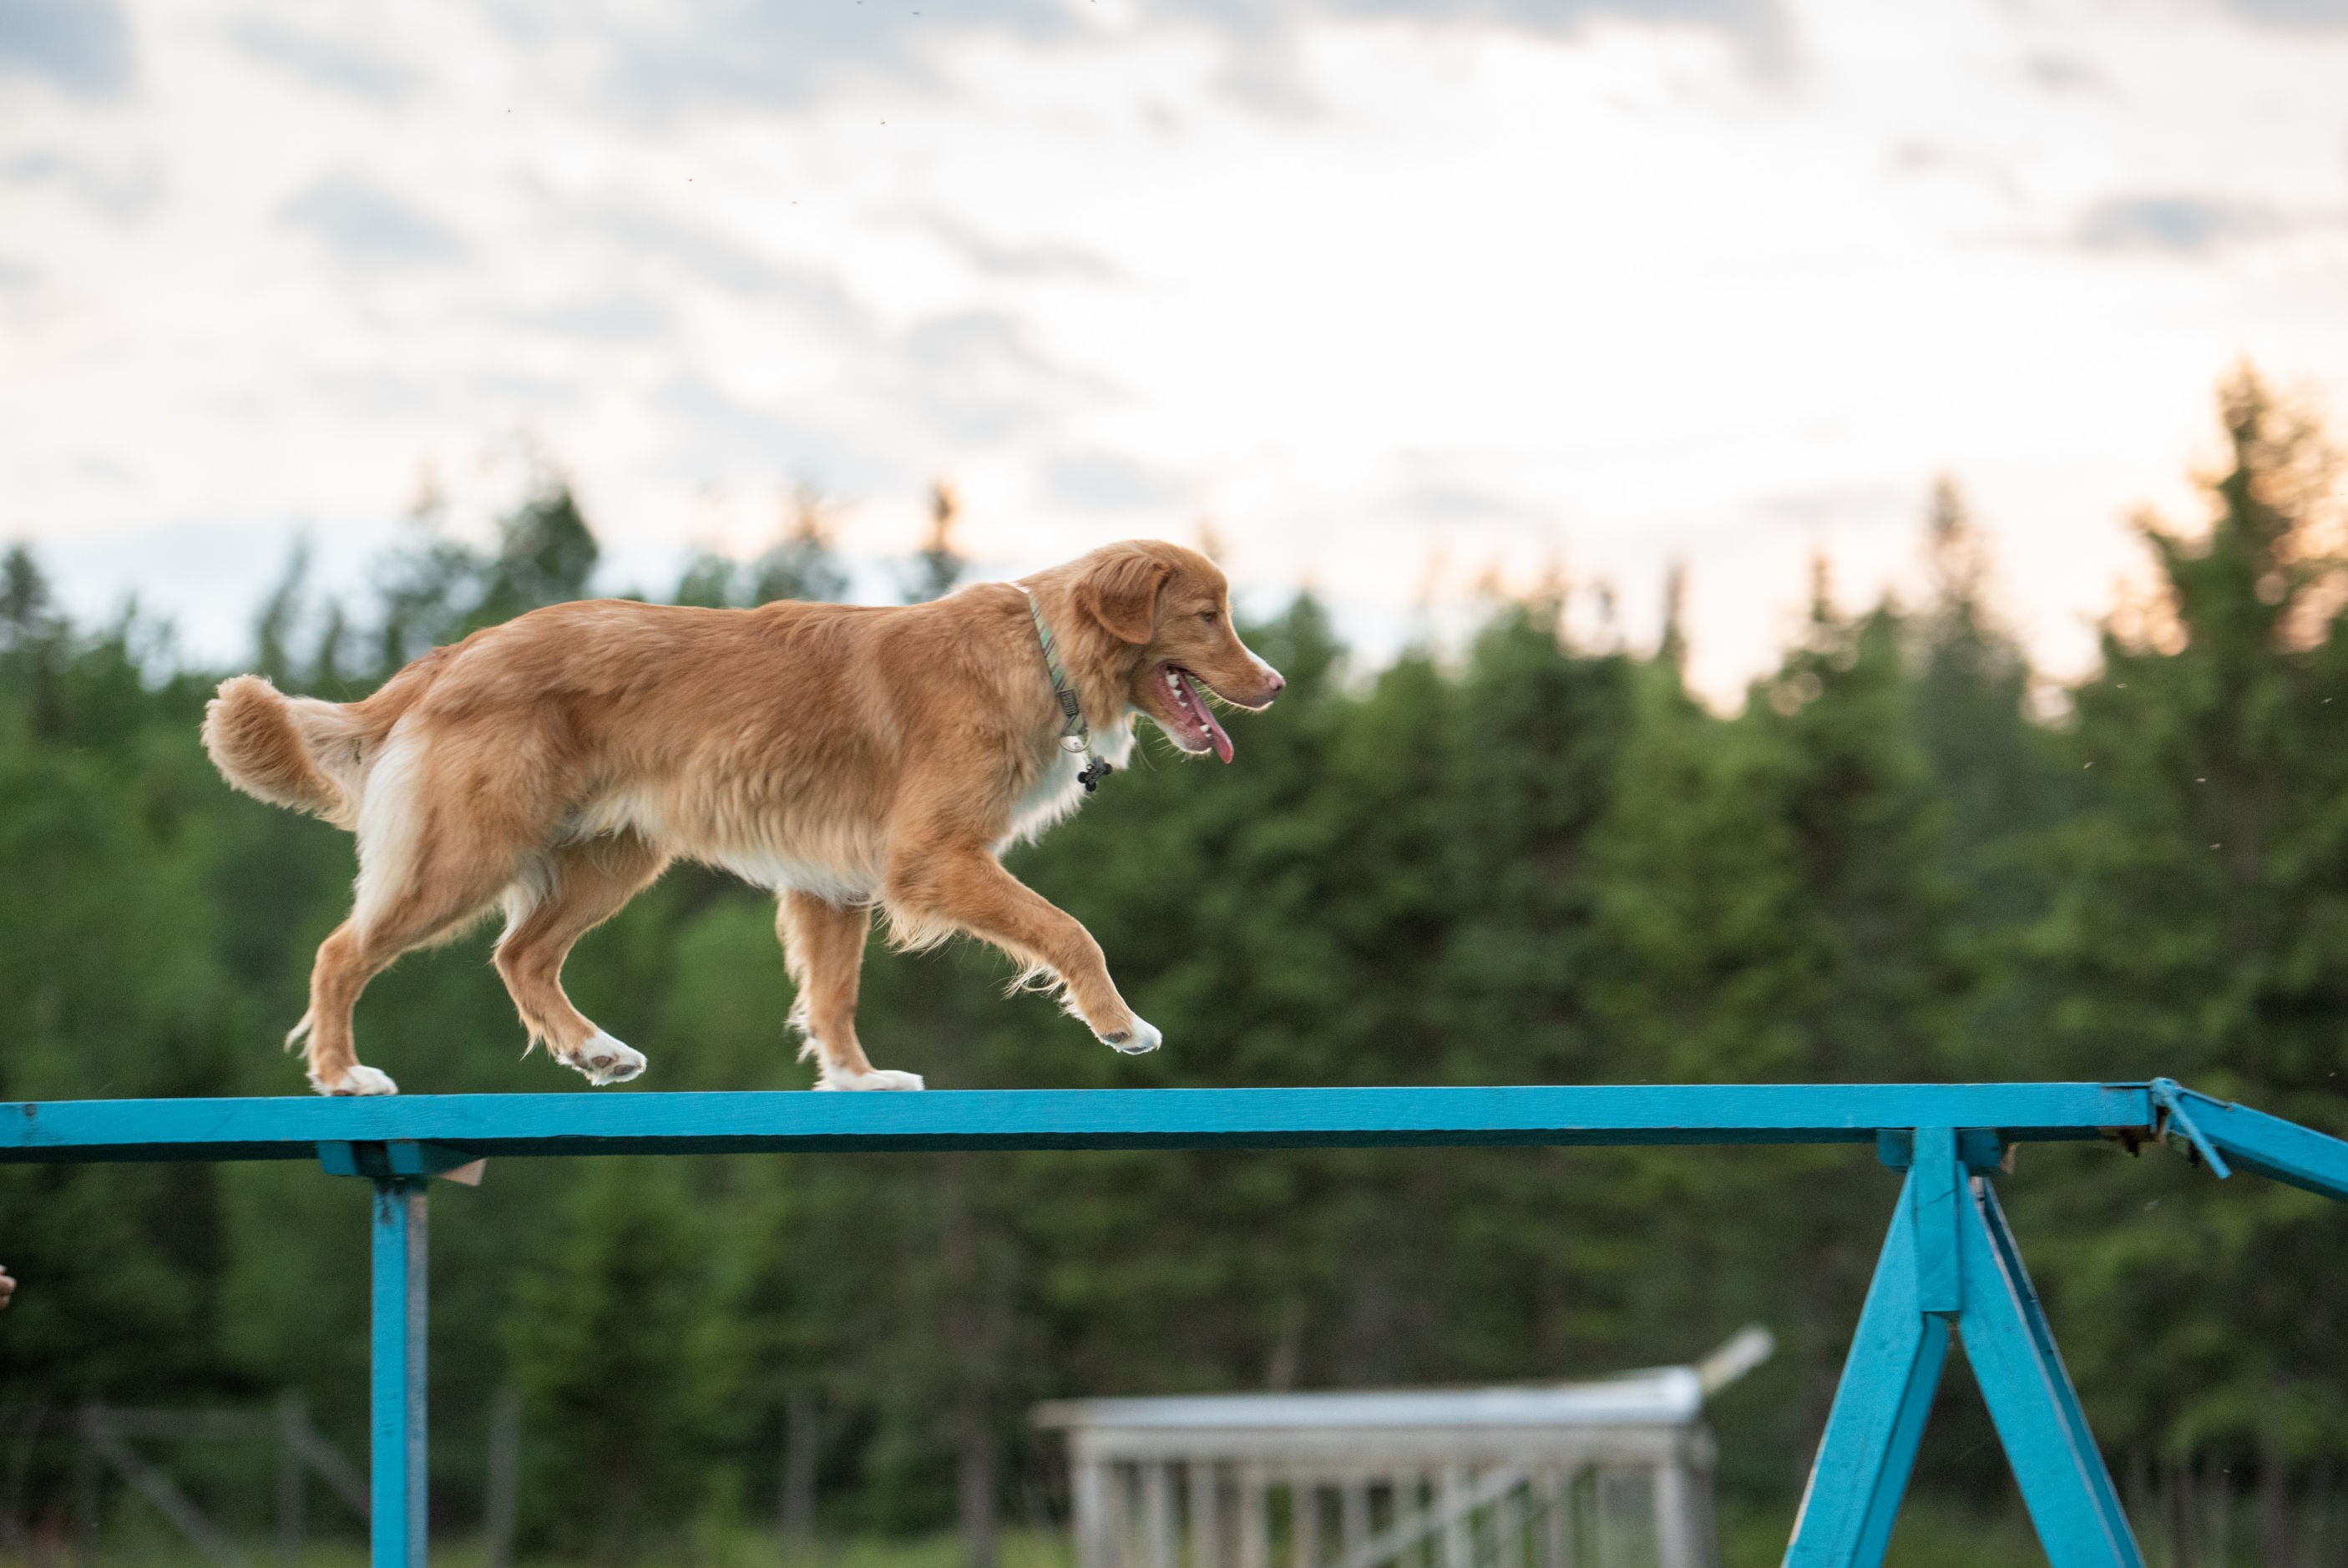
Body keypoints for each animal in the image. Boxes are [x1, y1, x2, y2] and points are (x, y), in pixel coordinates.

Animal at [201, 539, 1286, 1089]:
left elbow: (833, 996)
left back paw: (594, 1048)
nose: (1275, 685)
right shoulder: (931, 859)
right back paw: (342, 1076)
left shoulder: (836, 883)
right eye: (1208, 617)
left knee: (520, 957)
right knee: (341, 953)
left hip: (605, 862)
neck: (1042, 652)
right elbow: (1069, 933)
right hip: (464, 853)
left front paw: (854, 1080)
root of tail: (455, 653)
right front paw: (1119, 1025)